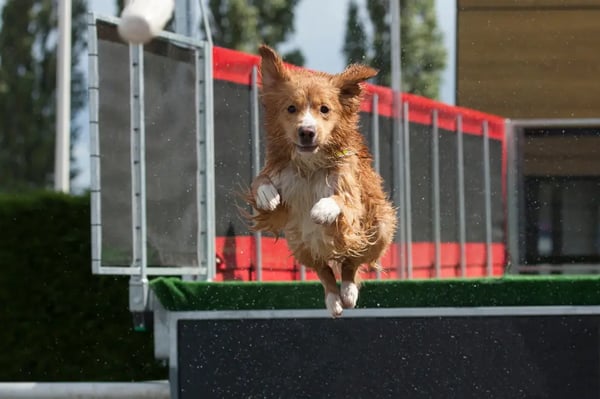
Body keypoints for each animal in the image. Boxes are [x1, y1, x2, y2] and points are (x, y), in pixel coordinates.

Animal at [246, 45, 396, 318]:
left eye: (325, 109)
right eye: (291, 108)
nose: (306, 131)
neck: (310, 166)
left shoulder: (351, 193)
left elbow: (341, 200)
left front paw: (321, 209)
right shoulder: (277, 171)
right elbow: (260, 181)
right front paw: (267, 195)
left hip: (378, 228)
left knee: (350, 263)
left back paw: (348, 291)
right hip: (300, 243)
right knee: (324, 271)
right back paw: (333, 299)